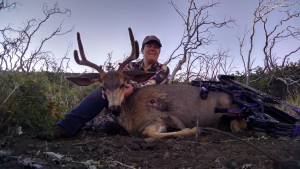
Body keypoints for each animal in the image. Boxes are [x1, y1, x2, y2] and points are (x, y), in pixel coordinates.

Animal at [67, 27, 245, 139]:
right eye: (103, 87)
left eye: (123, 84)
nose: (114, 108)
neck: (128, 114)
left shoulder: (154, 119)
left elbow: (150, 133)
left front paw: (197, 129)